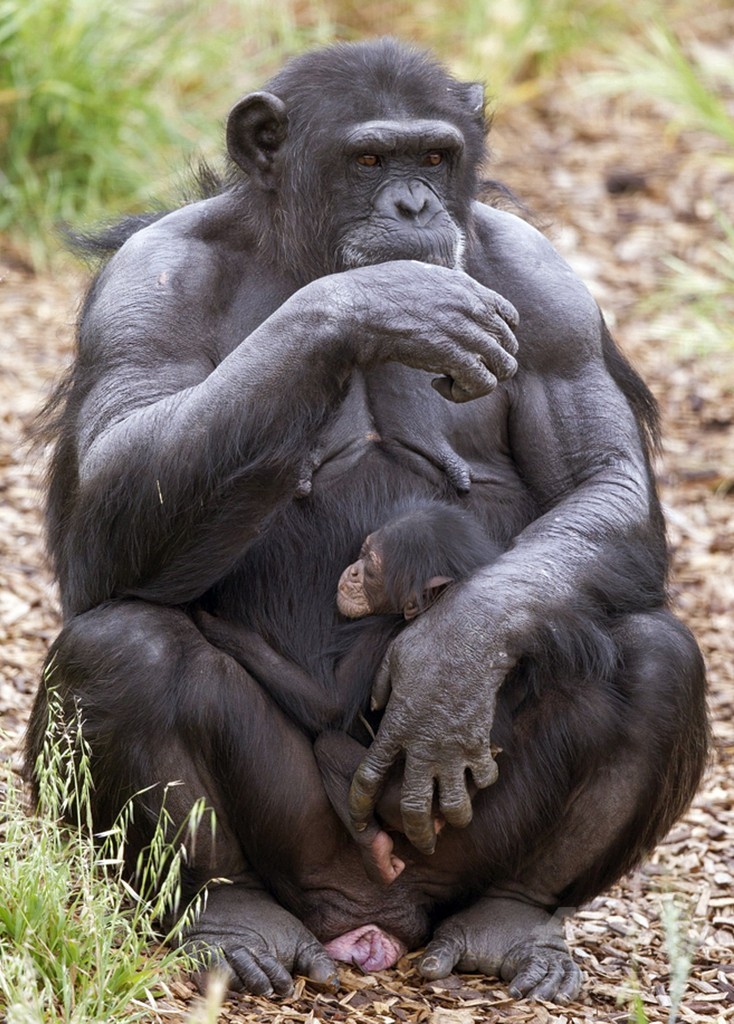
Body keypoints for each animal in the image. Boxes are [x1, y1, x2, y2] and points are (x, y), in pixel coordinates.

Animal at [197, 499, 501, 884]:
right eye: (362, 552)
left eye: (371, 567)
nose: (354, 571)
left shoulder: (380, 633)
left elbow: (330, 705)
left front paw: (219, 627)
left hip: (395, 799)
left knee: (329, 747)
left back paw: (375, 849)